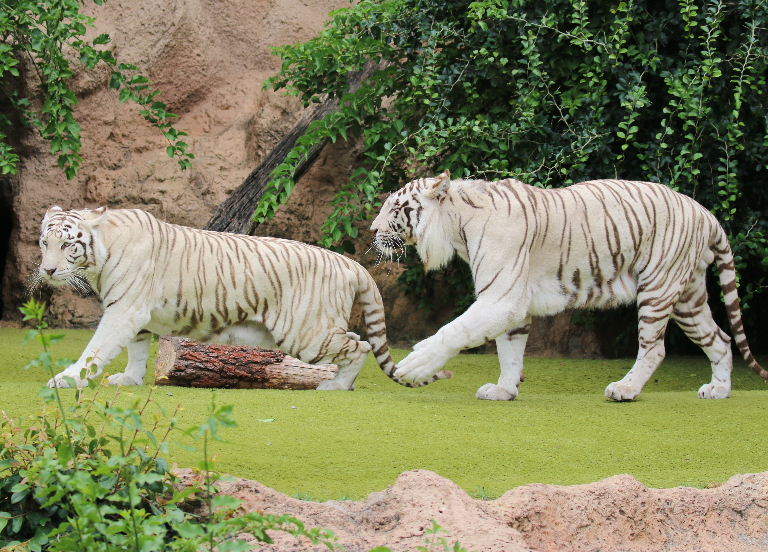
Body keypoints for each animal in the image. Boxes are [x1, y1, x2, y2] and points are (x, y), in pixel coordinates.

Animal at [34, 205, 450, 390]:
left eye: (68, 245)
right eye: (44, 243)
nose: (48, 271)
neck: (100, 256)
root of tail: (348, 262)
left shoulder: (125, 310)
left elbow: (97, 348)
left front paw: (67, 379)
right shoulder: (136, 316)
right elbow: (137, 350)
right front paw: (130, 379)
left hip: (306, 332)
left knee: (359, 345)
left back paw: (334, 386)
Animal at [368, 171, 764, 402]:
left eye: (395, 207)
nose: (372, 230)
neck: (456, 226)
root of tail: (706, 213)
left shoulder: (501, 298)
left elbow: (455, 330)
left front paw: (415, 365)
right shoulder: (512, 305)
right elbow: (510, 351)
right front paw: (504, 389)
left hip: (658, 287)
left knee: (654, 349)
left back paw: (625, 389)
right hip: (687, 297)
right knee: (720, 339)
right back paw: (718, 389)